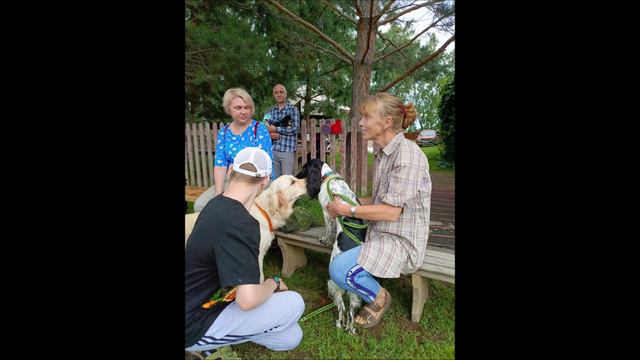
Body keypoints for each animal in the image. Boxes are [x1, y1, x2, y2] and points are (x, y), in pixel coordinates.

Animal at [296, 159, 364, 334]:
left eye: (304, 167)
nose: (296, 175)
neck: (327, 176)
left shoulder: (327, 213)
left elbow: (328, 230)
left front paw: (325, 240)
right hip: (355, 294)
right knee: (351, 313)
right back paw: (351, 330)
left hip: (334, 285)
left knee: (342, 309)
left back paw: (339, 325)